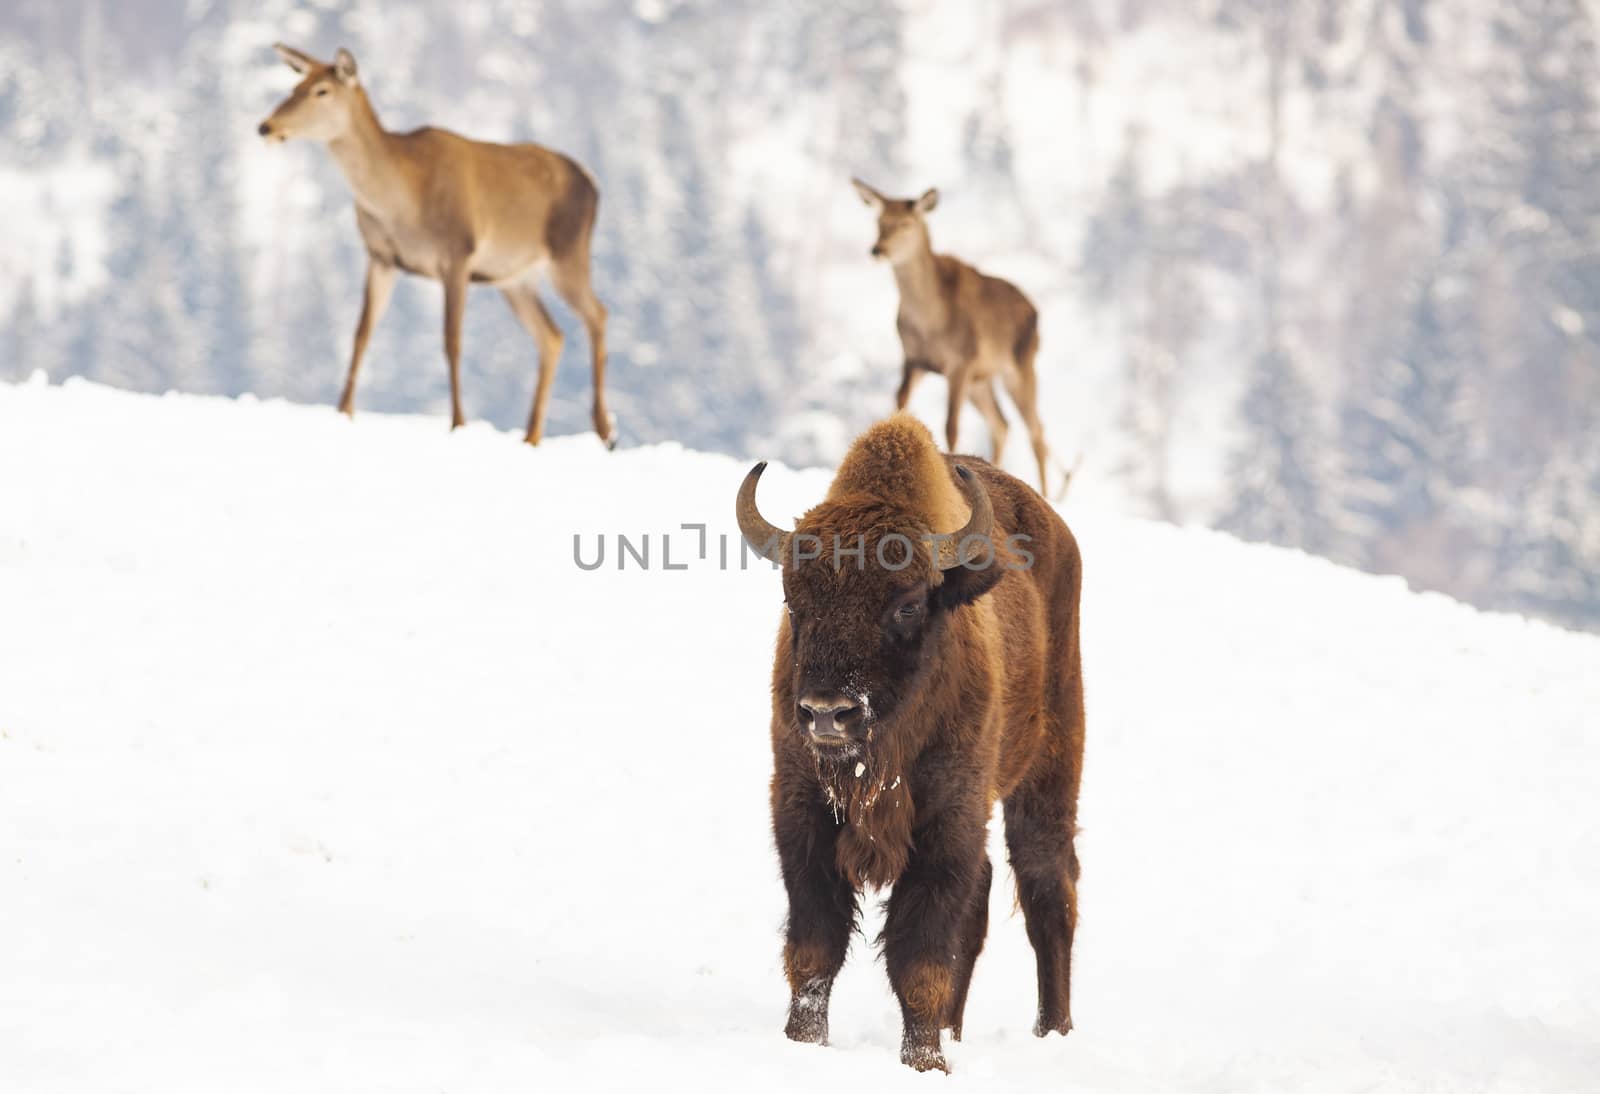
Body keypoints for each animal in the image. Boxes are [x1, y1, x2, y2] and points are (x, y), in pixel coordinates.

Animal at [259, 41, 614, 444]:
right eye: (295, 87)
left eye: (322, 90)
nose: (266, 126)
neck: (400, 204)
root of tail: (593, 183)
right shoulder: (381, 256)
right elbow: (362, 332)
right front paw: (343, 411)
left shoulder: (458, 252)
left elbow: (452, 341)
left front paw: (458, 422)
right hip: (514, 278)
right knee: (552, 336)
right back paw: (532, 436)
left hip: (568, 252)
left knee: (598, 314)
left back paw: (604, 429)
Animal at [736, 415, 1088, 1074]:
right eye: (794, 603)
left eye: (906, 605)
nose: (827, 713)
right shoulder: (802, 812)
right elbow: (815, 946)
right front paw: (803, 1044)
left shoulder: (946, 820)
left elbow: (921, 957)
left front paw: (925, 1063)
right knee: (983, 905)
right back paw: (956, 1032)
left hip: (1049, 770)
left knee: (1047, 892)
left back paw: (1053, 1032)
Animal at [851, 180, 1049, 495]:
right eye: (879, 221)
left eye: (906, 223)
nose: (877, 249)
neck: (930, 324)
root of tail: (1033, 309)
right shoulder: (913, 359)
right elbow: (900, 402)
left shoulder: (960, 361)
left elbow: (951, 425)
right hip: (981, 381)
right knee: (1002, 424)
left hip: (1020, 365)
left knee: (1036, 431)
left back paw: (1045, 492)